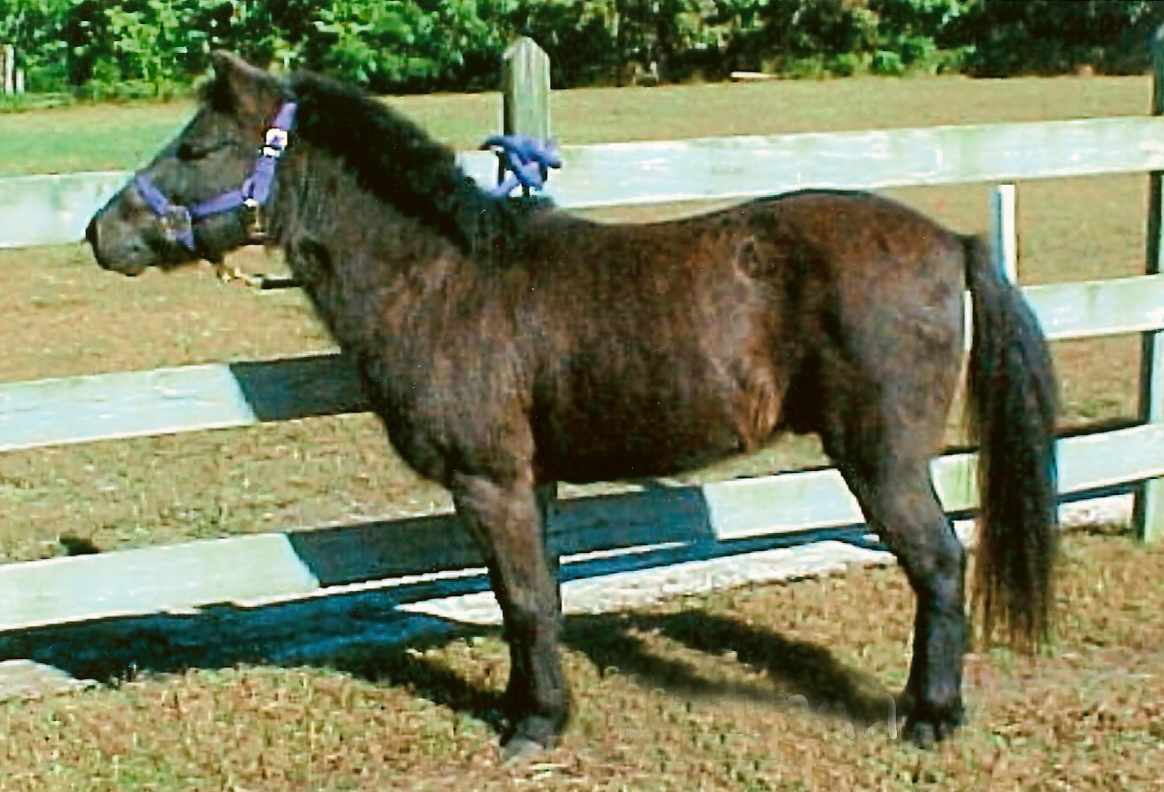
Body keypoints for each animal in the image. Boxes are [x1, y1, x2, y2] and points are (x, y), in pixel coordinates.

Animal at [86, 52, 1058, 759]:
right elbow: (538, 597)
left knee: (940, 567)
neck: (447, 279)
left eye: (199, 147)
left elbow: (522, 602)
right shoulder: (533, 482)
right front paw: (532, 706)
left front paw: (533, 726)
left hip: (881, 459)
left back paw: (930, 715)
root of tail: (951, 244)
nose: (103, 234)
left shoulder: (489, 480)